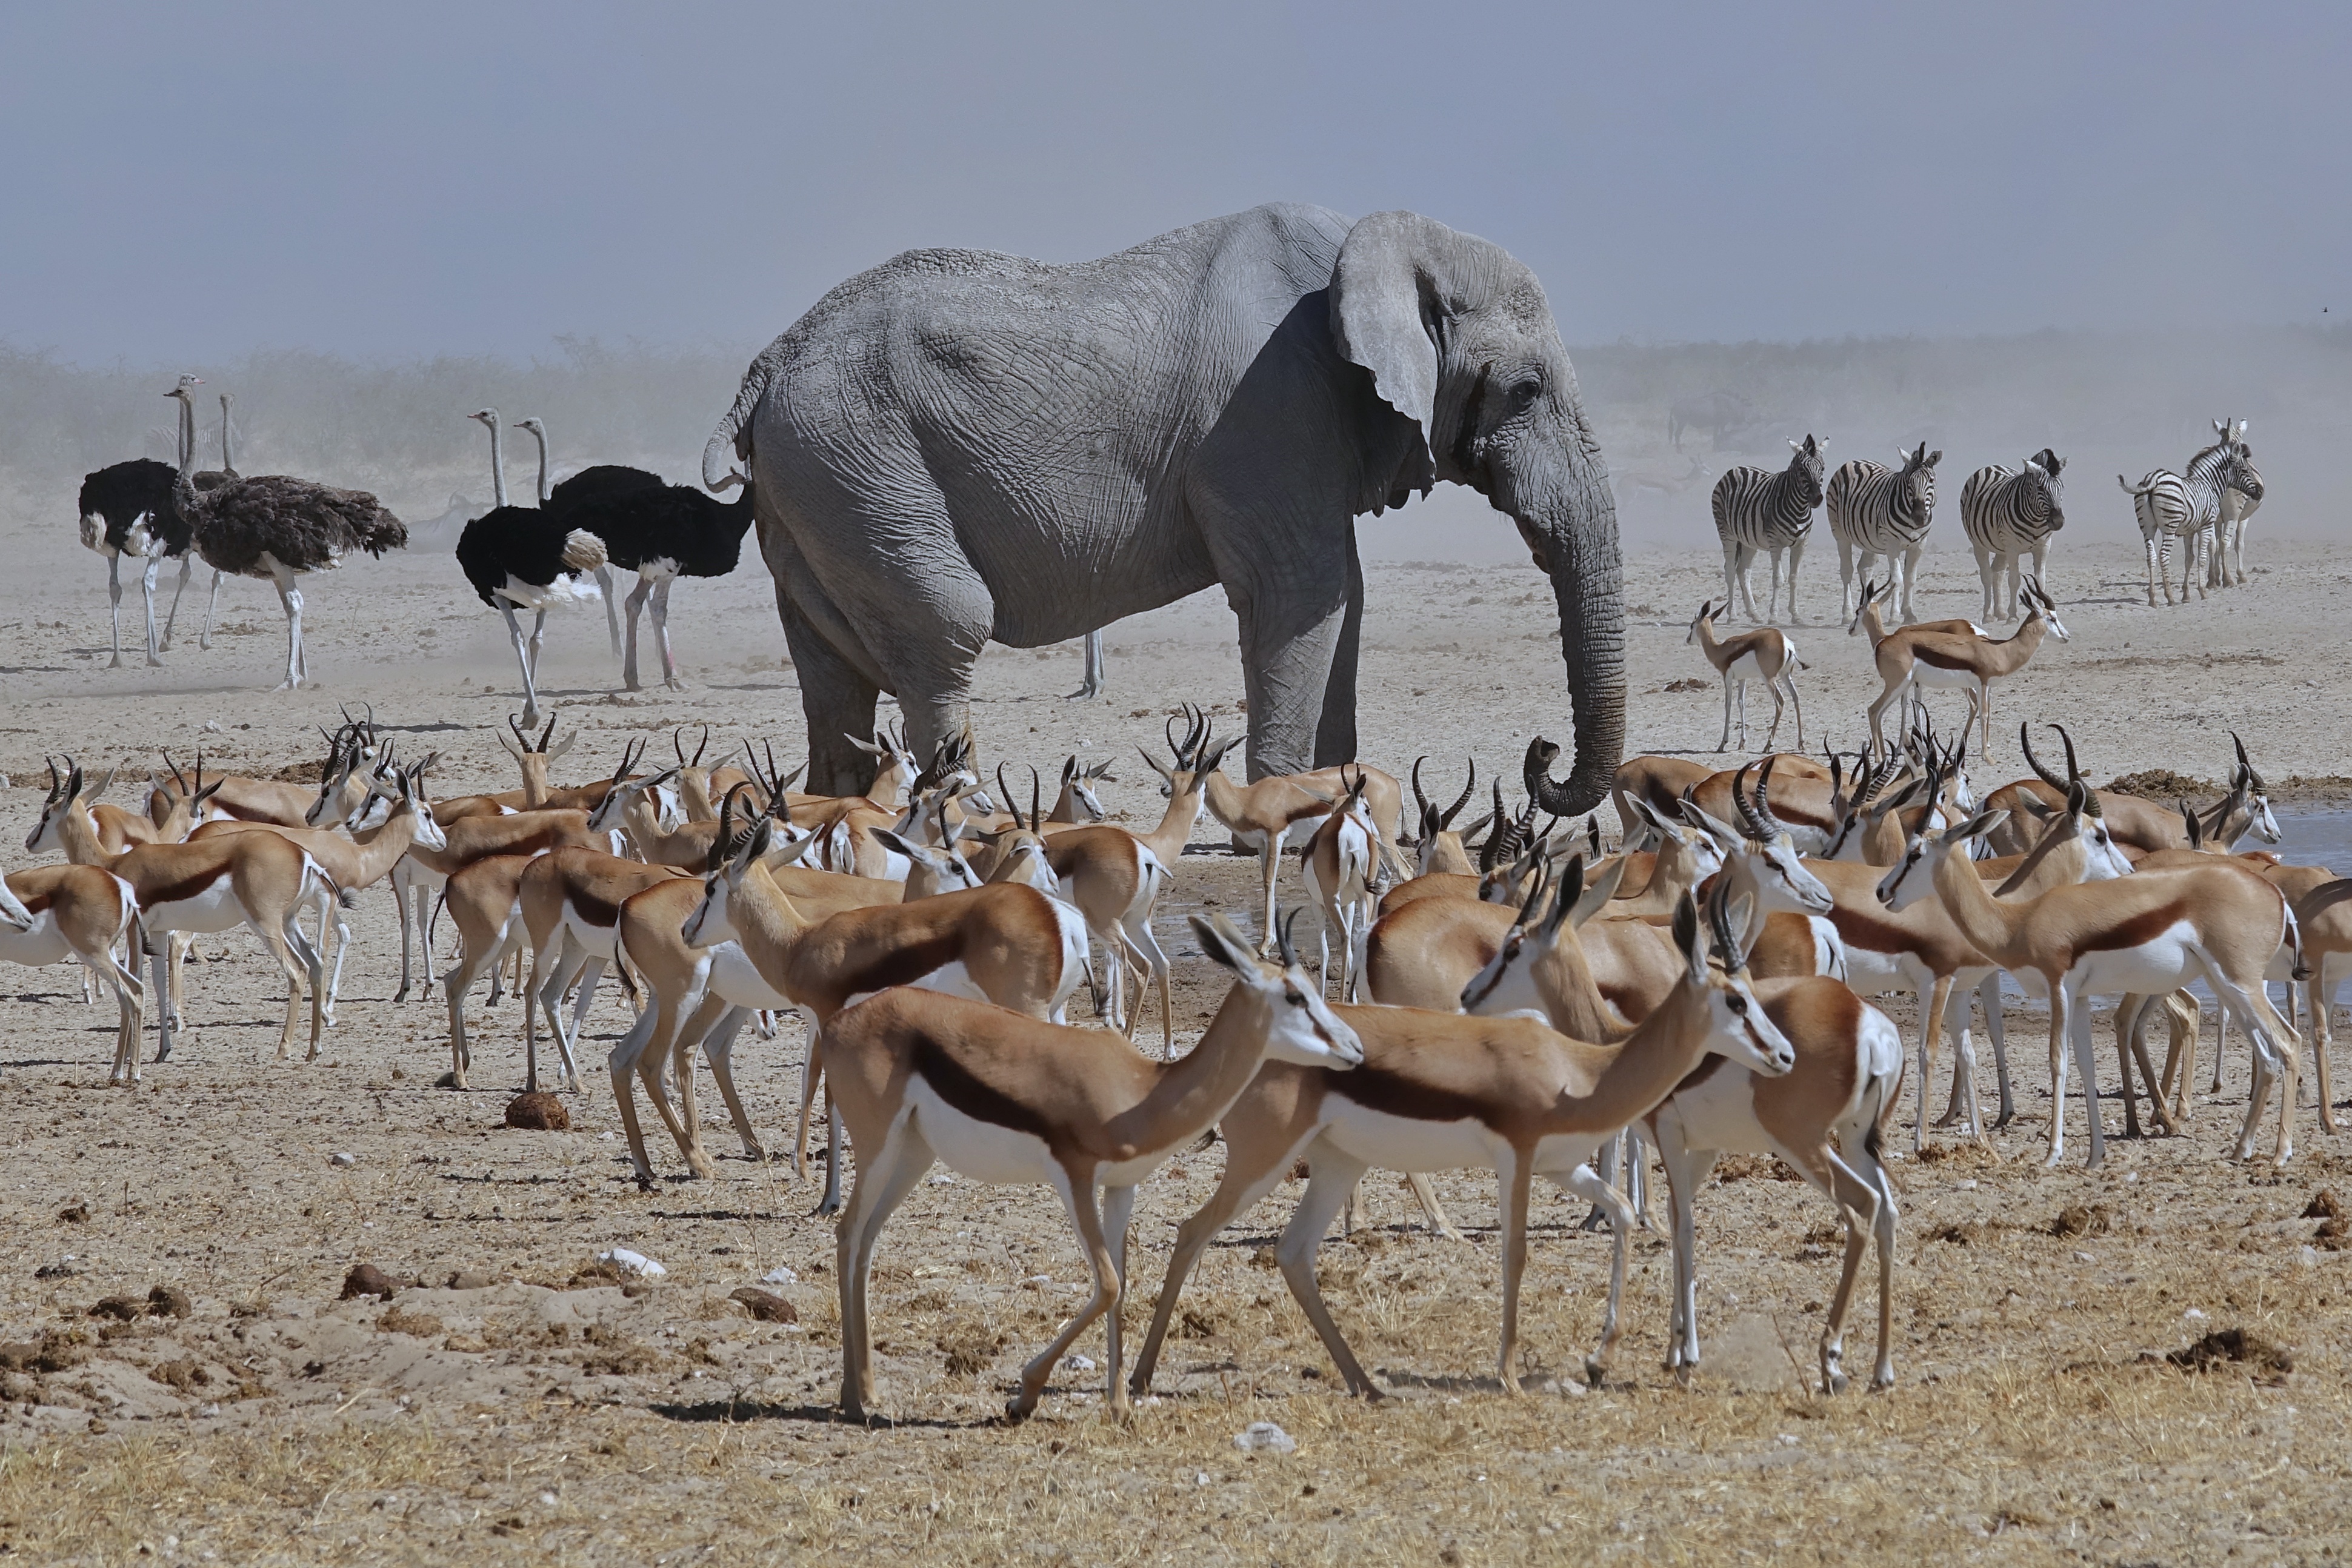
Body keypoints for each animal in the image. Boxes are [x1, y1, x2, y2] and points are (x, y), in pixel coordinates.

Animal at [702, 203, 1626, 806]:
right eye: (1525, 391)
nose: (1540, 755)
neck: (1378, 243)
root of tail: (765, 364)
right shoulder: (1268, 411)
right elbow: (1300, 593)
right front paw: (1288, 806)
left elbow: (1342, 598)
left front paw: (1338, 799)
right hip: (859, 461)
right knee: (946, 626)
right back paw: (971, 823)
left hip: (818, 486)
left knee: (833, 671)